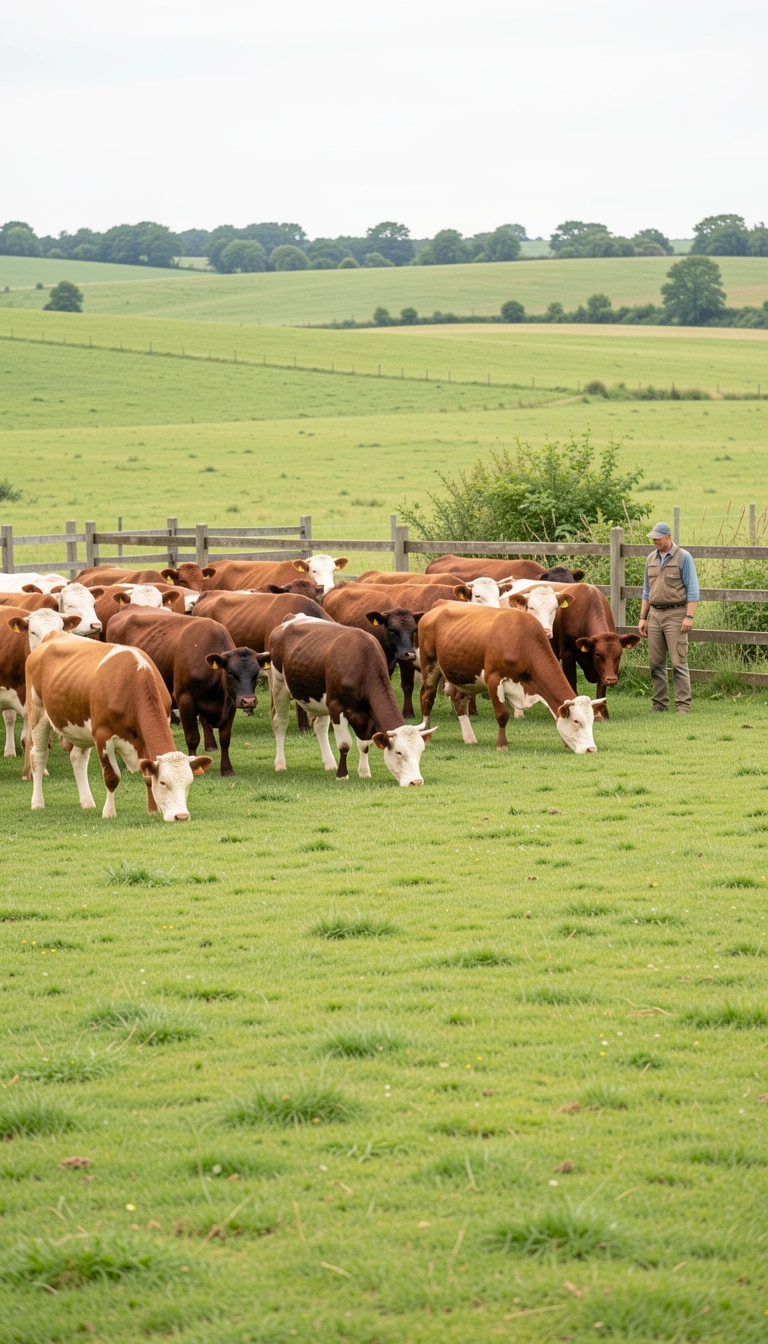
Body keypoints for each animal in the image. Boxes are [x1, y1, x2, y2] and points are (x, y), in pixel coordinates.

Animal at [24, 632, 212, 819]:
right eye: (163, 782)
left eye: (189, 783)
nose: (181, 816)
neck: (132, 685)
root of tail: (54, 634)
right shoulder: (102, 735)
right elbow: (112, 777)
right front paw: (109, 812)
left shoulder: (144, 737)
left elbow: (146, 775)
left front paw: (152, 810)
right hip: (37, 714)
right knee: (38, 755)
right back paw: (37, 802)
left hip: (79, 727)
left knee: (78, 758)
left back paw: (87, 802)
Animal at [106, 607, 268, 776]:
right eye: (230, 672)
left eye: (256, 673)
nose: (249, 701)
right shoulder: (185, 701)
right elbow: (192, 737)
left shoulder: (231, 703)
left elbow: (225, 738)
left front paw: (227, 769)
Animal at [268, 616, 435, 784]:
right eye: (399, 752)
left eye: (421, 751)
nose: (416, 782)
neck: (363, 662)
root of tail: (292, 617)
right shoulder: (336, 706)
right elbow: (344, 744)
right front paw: (342, 775)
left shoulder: (366, 712)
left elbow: (364, 743)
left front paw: (364, 772)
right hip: (279, 685)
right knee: (280, 723)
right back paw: (280, 764)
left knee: (320, 726)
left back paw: (329, 763)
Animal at [417, 604, 605, 754]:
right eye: (576, 721)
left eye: (591, 721)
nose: (591, 749)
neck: (523, 643)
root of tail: (437, 607)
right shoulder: (494, 680)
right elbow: (502, 714)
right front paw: (502, 745)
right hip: (430, 666)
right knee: (427, 698)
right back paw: (425, 735)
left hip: (462, 676)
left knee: (459, 700)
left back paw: (469, 737)